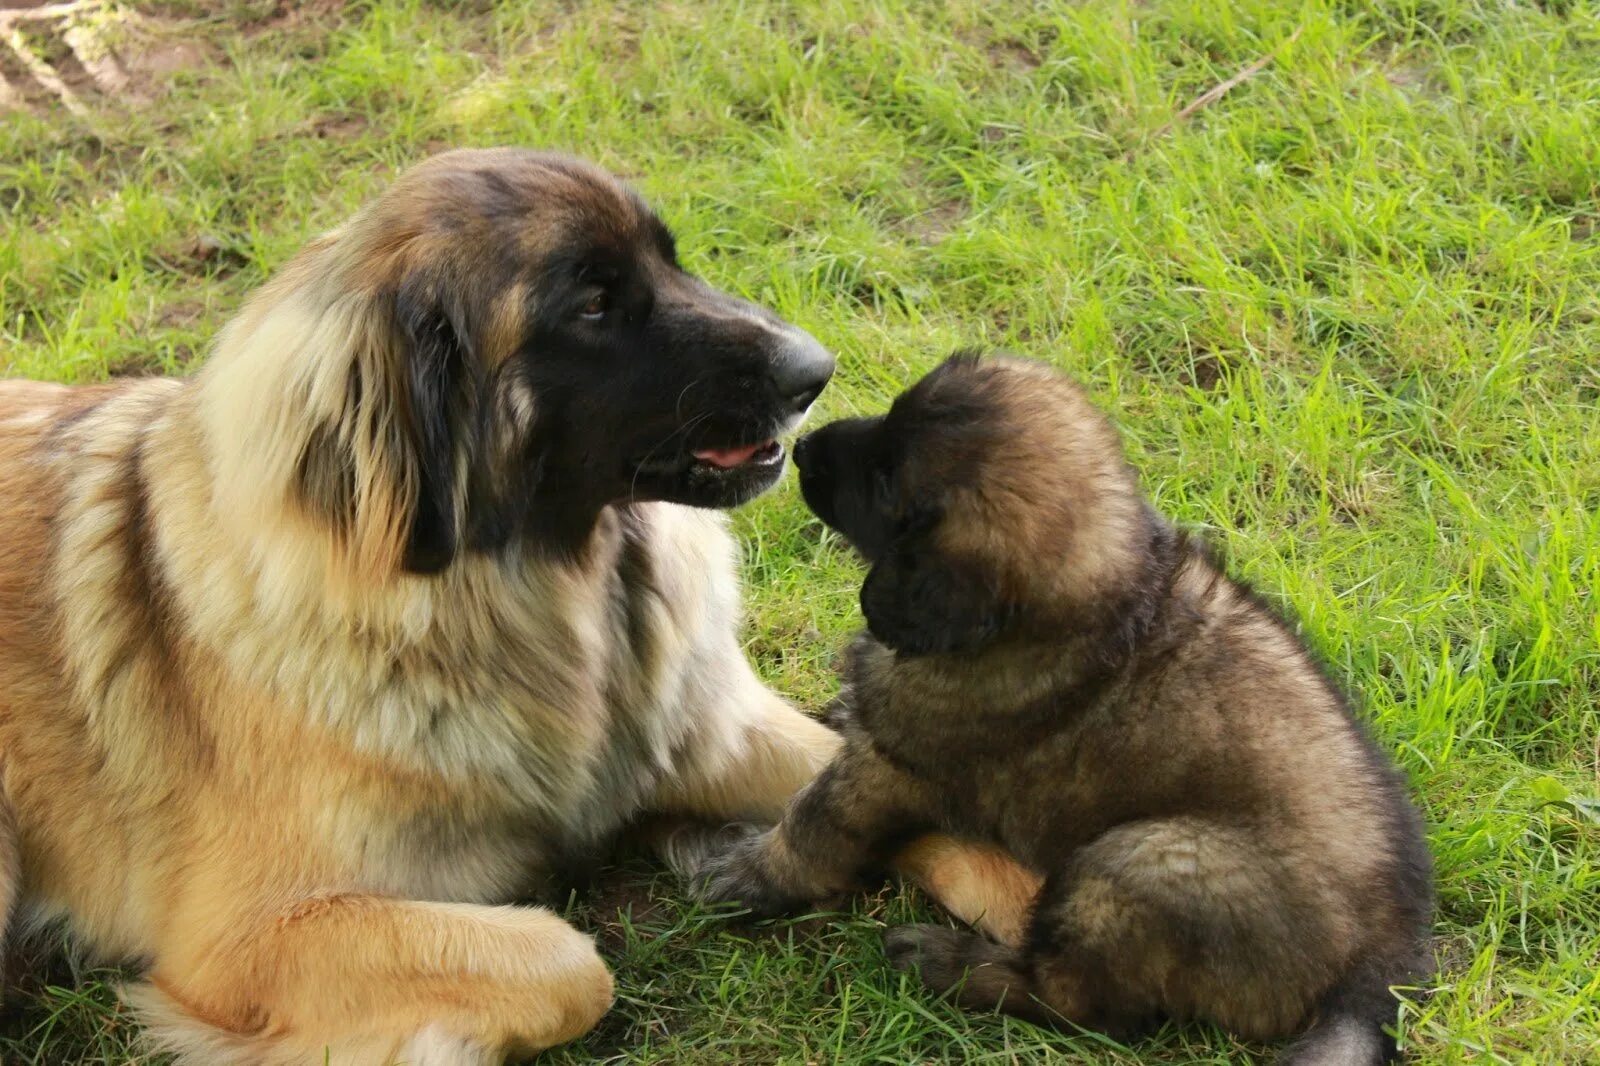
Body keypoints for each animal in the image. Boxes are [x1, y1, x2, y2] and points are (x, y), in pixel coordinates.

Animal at [0, 151, 1030, 1062]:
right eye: (593, 304)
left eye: (671, 258)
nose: (816, 370)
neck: (554, 595)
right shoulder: (251, 934)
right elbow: (569, 964)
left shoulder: (721, 736)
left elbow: (918, 802)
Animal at [694, 356, 1433, 1062]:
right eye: (890, 415)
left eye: (885, 483)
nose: (803, 448)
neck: (1095, 603)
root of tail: (1378, 968)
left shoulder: (894, 767)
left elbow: (816, 823)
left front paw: (748, 875)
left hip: (1137, 866)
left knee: (1080, 1004)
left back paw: (944, 961)